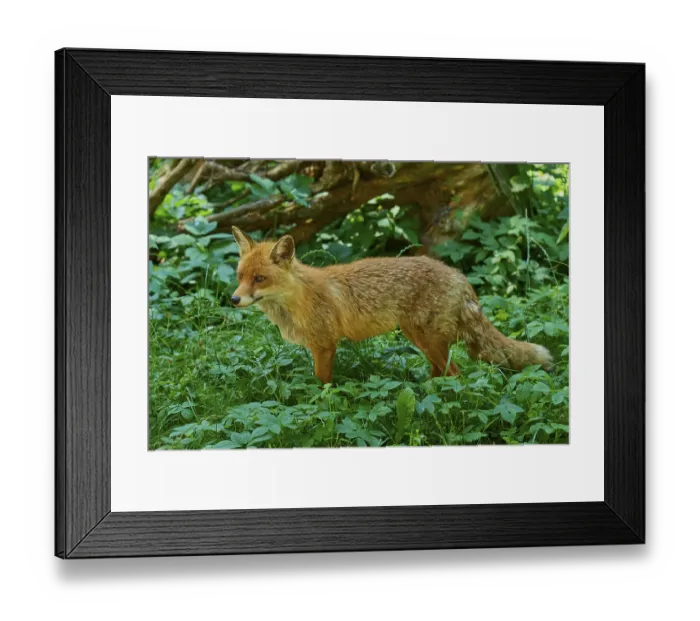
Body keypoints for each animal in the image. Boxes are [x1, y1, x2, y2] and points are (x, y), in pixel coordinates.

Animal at [230, 226, 552, 384]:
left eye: (259, 278)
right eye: (239, 276)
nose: (234, 299)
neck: (299, 298)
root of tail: (460, 276)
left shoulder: (324, 346)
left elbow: (322, 384)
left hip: (429, 339)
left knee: (456, 374)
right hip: (420, 339)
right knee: (440, 372)